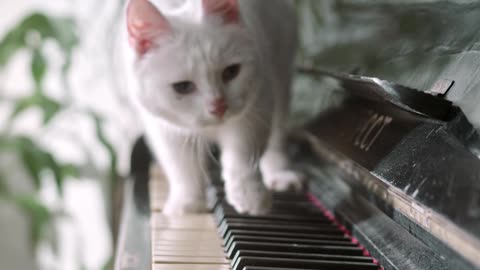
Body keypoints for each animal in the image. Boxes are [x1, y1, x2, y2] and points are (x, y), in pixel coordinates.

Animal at [124, 0, 304, 215]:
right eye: (182, 87)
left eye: (231, 72)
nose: (219, 106)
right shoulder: (164, 128)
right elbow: (182, 167)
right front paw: (186, 203)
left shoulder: (256, 108)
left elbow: (241, 155)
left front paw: (249, 196)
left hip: (281, 72)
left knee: (277, 134)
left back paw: (279, 173)